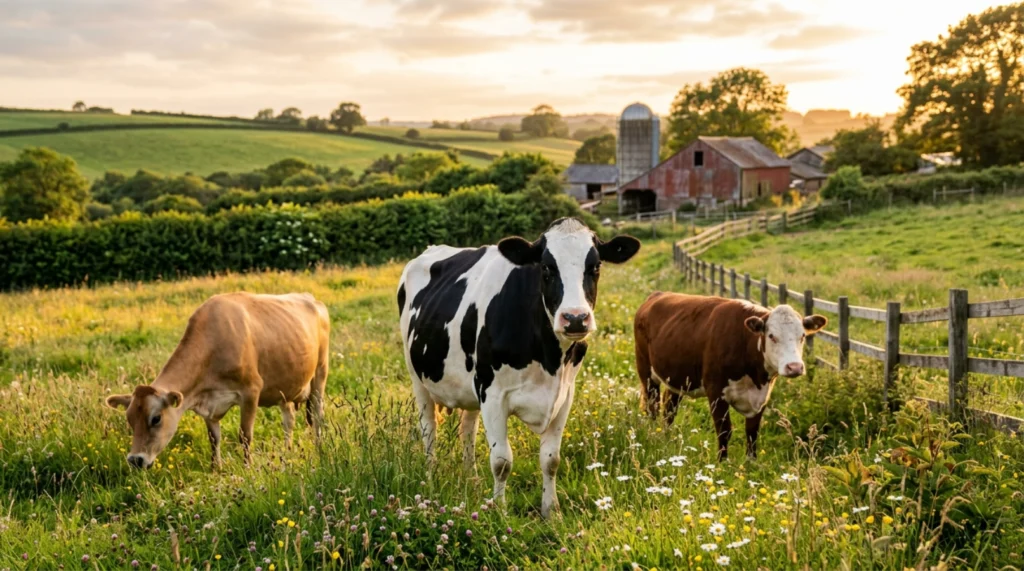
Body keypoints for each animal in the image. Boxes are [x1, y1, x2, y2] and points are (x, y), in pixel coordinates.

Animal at [105, 292, 330, 469]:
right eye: (130, 419)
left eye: (156, 419)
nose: (135, 460)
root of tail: (312, 298)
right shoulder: (208, 403)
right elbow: (214, 438)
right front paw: (216, 469)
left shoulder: (251, 391)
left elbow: (245, 436)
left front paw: (247, 468)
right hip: (286, 386)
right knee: (289, 419)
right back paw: (288, 452)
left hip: (320, 372)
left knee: (317, 414)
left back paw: (320, 448)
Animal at [398, 218, 640, 517]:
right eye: (546, 267)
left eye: (595, 266)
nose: (575, 318)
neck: (549, 359)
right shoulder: (492, 394)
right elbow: (501, 461)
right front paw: (500, 511)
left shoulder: (564, 394)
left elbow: (551, 459)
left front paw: (551, 511)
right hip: (417, 379)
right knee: (429, 431)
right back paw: (431, 479)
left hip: (469, 385)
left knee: (468, 429)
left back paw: (470, 477)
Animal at [633, 293, 826, 461]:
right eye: (772, 336)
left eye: (802, 336)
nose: (794, 367)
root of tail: (657, 295)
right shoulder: (716, 391)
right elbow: (724, 430)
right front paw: (722, 463)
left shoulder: (762, 396)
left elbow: (752, 432)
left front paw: (751, 462)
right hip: (646, 371)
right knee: (652, 406)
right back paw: (653, 433)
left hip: (677, 378)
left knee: (669, 410)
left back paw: (666, 437)